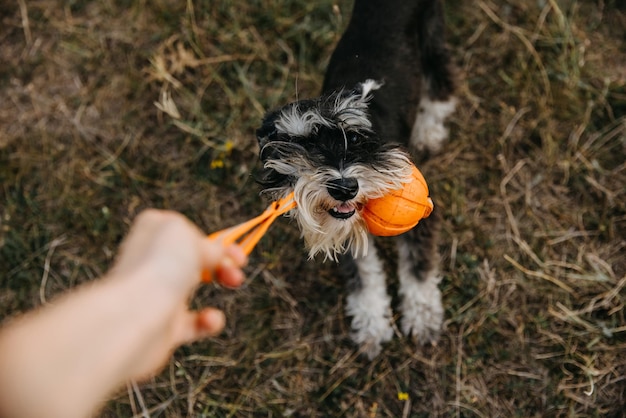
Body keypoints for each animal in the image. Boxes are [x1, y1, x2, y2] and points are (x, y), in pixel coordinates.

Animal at [252, 0, 454, 360]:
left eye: (356, 137)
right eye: (305, 143)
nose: (344, 187)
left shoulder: (421, 218)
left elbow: (418, 269)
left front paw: (424, 319)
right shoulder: (341, 228)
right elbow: (364, 276)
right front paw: (372, 327)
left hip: (432, 32)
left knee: (441, 82)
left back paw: (429, 130)